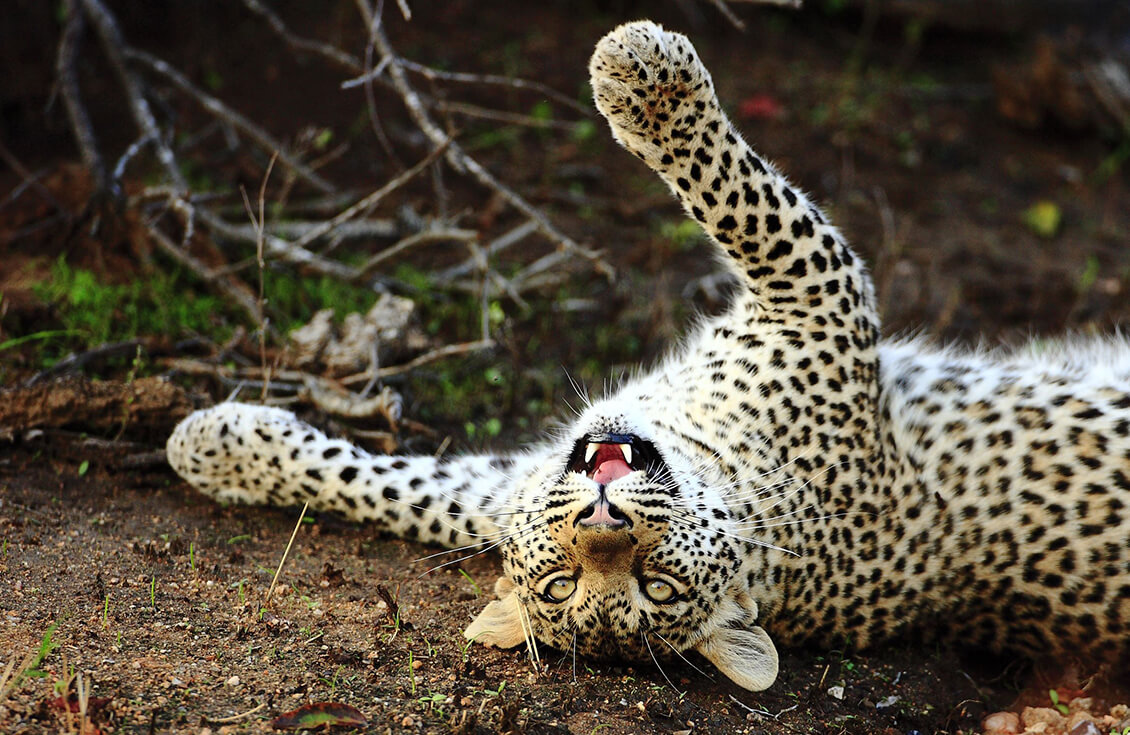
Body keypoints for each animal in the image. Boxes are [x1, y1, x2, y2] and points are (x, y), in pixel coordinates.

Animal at [166, 20, 1130, 691]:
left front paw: (645, 78)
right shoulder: (514, 483)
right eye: (564, 585)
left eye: (657, 586)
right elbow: (401, 491)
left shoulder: (817, 293)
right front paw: (221, 447)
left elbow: (740, 197)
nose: (603, 516)